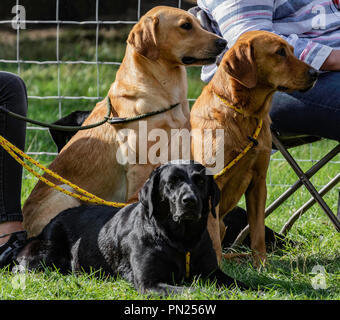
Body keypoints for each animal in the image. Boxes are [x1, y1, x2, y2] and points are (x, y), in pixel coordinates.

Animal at [12, 162, 247, 296]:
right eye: (172, 182)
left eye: (199, 181)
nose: (190, 201)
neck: (181, 240)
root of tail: (55, 219)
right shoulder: (149, 283)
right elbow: (194, 291)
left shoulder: (213, 272)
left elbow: (240, 284)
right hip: (42, 254)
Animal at [23, 5, 226, 238]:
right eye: (185, 26)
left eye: (198, 24)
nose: (223, 43)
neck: (164, 94)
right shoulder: (139, 168)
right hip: (65, 193)